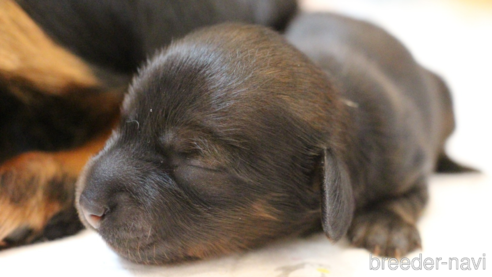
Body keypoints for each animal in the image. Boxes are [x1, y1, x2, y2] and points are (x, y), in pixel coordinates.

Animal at [75, 13, 470, 264]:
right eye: (123, 123)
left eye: (196, 159)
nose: (87, 206)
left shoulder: (407, 161)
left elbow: (412, 194)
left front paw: (385, 224)